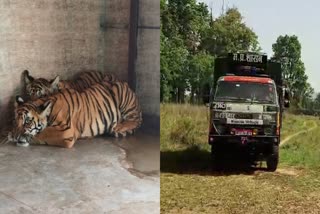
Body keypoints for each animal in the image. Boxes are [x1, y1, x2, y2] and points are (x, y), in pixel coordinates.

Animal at [9, 71, 141, 148]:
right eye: (28, 94)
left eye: (42, 95)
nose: (14, 135)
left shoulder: (65, 131)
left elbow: (43, 133)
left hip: (122, 96)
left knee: (136, 120)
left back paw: (119, 127)